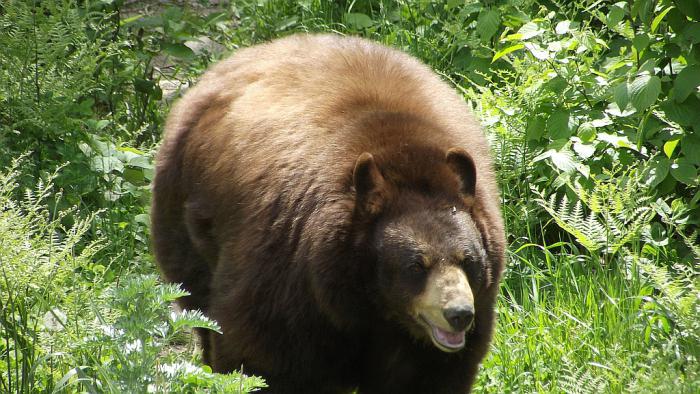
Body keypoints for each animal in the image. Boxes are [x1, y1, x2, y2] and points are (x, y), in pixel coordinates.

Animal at [152, 34, 504, 394]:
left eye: (468, 260)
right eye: (416, 265)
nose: (459, 314)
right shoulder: (287, 269)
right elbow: (265, 357)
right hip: (185, 217)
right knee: (198, 300)